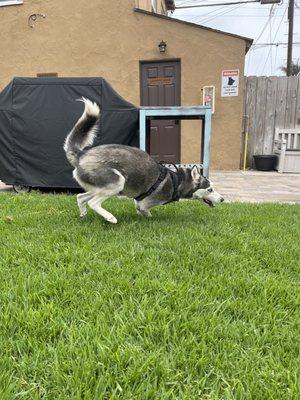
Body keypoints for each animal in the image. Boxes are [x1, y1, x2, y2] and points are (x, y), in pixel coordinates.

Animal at [63, 98, 223, 223]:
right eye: (210, 189)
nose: (222, 199)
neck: (177, 180)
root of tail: (81, 154)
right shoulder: (144, 203)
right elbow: (144, 210)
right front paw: (148, 218)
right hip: (116, 183)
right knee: (93, 202)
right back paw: (109, 217)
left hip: (101, 188)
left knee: (80, 197)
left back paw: (83, 215)